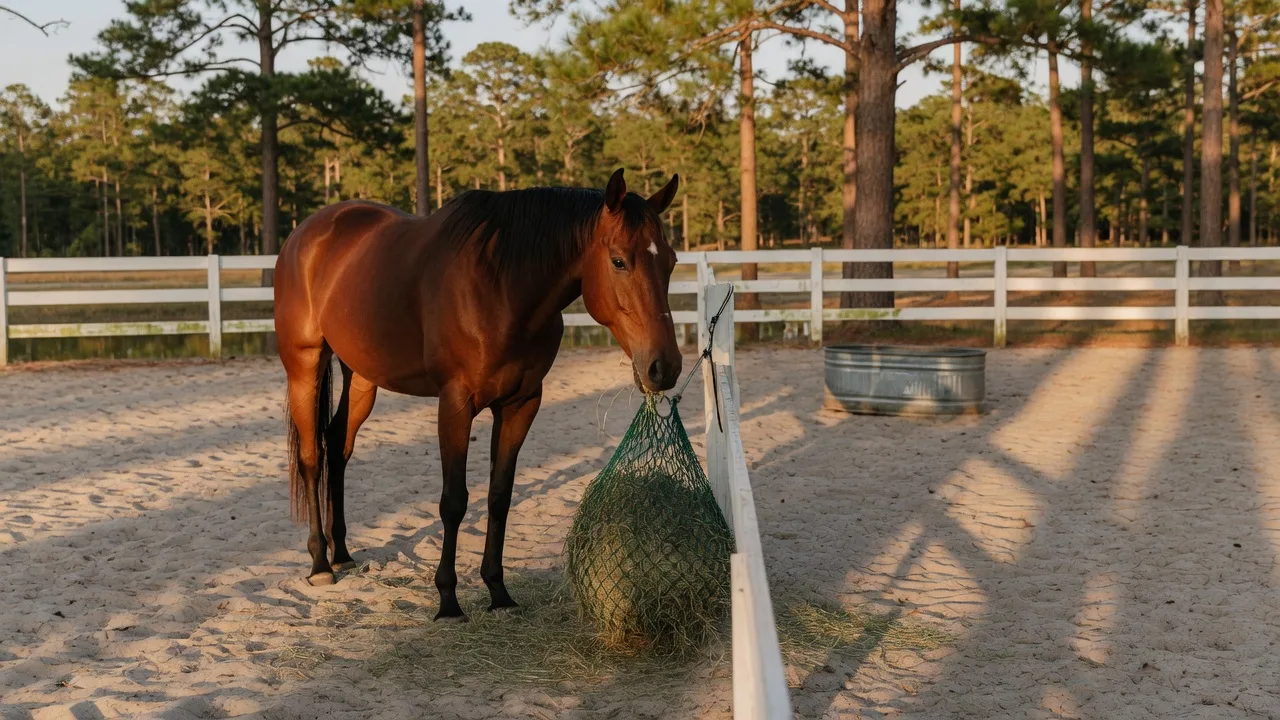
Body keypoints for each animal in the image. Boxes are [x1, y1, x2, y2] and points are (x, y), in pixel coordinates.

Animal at [273, 168, 682, 620]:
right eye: (618, 260)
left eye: (671, 261)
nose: (664, 367)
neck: (500, 287)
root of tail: (306, 234)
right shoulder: (455, 404)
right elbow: (454, 501)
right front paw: (448, 599)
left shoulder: (522, 404)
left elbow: (499, 496)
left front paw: (498, 591)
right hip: (305, 366)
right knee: (312, 456)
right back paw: (320, 564)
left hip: (362, 375)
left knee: (337, 444)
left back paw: (342, 552)